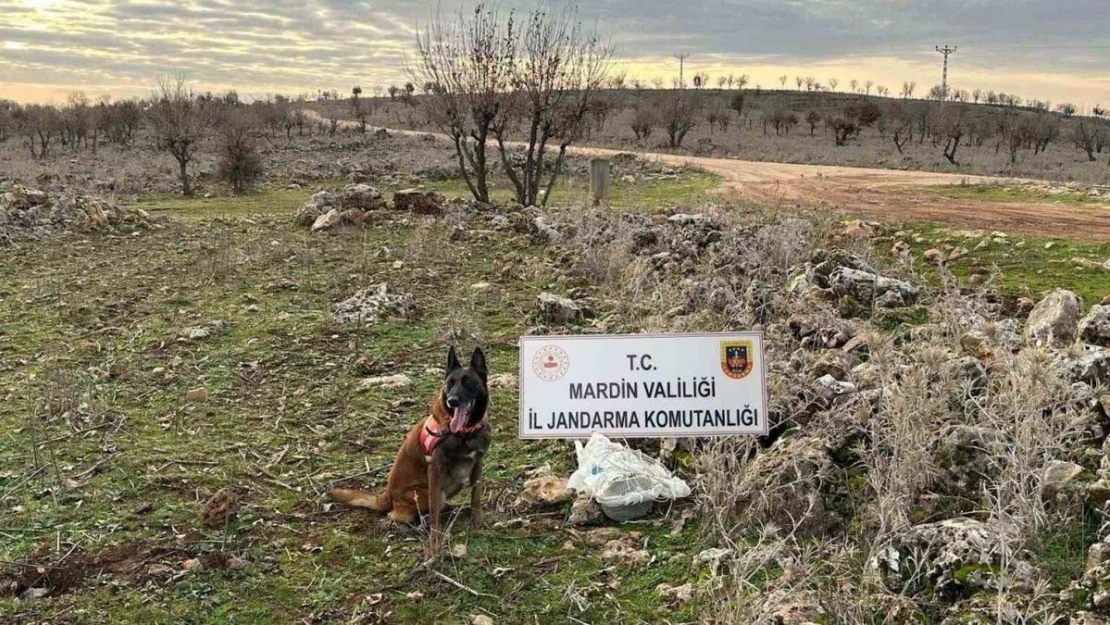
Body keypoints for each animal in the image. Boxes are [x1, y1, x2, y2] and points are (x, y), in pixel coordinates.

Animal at [326, 344, 488, 555]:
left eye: (468, 382)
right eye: (450, 384)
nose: (452, 401)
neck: (465, 434)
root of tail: (387, 495)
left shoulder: (478, 463)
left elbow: (476, 495)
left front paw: (476, 519)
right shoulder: (435, 469)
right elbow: (435, 512)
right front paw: (435, 541)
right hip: (424, 494)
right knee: (403, 514)